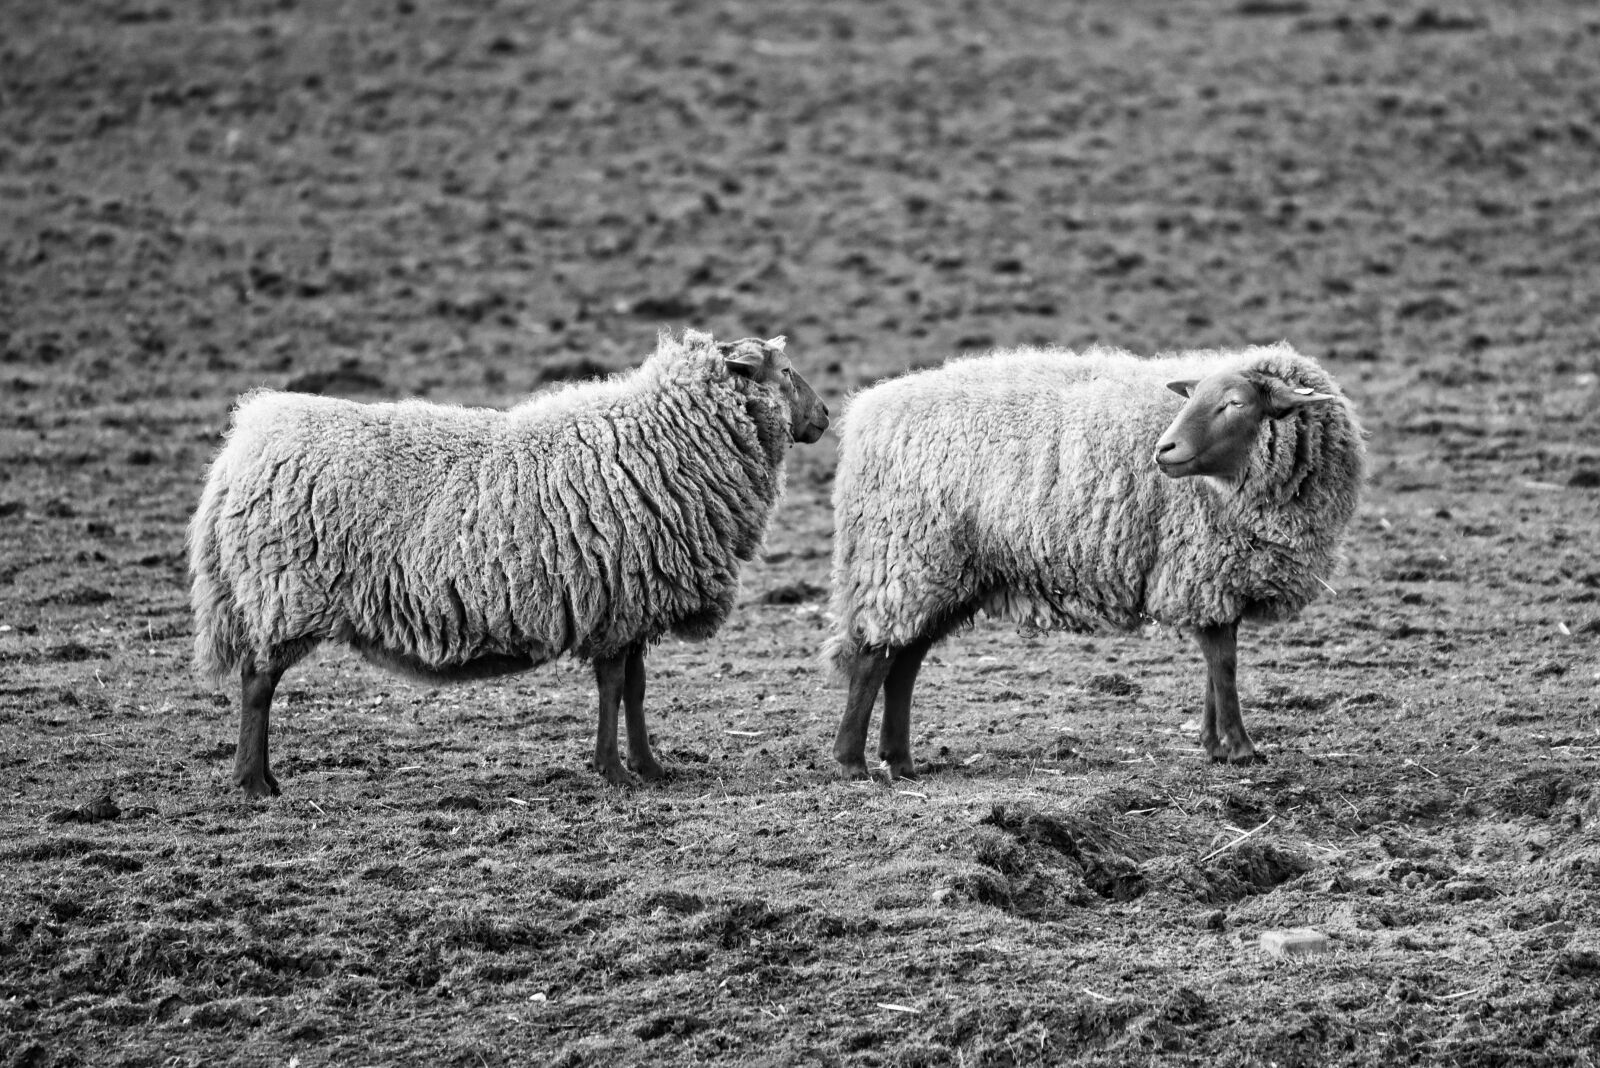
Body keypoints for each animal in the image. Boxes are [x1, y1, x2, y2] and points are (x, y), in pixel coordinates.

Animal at [188, 330, 829, 796]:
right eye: (785, 372)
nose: (824, 417)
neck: (666, 439)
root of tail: (244, 442)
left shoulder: (630, 605)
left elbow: (636, 689)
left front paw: (648, 767)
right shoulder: (617, 600)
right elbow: (614, 688)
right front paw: (615, 772)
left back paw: (261, 778)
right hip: (284, 591)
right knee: (257, 683)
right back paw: (253, 782)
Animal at [824, 342, 1365, 780]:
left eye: (1236, 403)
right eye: (1192, 398)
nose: (1163, 450)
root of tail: (868, 412)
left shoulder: (1217, 577)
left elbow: (1218, 659)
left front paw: (1215, 743)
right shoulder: (1202, 568)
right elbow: (1224, 660)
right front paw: (1238, 746)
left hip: (943, 571)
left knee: (904, 661)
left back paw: (900, 761)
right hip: (901, 557)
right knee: (873, 660)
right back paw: (852, 763)